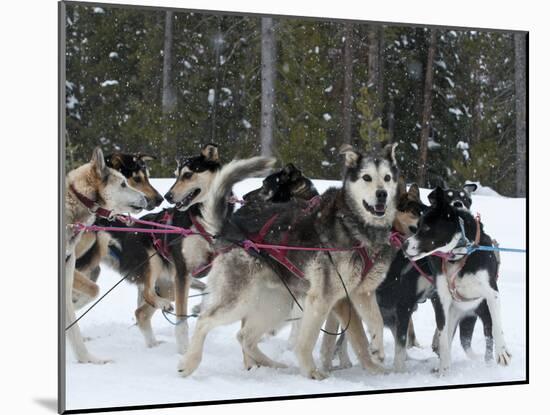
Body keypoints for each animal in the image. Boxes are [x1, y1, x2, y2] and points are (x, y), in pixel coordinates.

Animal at [402, 187, 512, 376]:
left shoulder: (492, 294)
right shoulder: (442, 299)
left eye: (426, 227)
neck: (459, 255)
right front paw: (443, 369)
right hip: (453, 314)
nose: (403, 245)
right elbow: (443, 338)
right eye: (417, 227)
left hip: (481, 312)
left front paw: (502, 352)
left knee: (487, 336)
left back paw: (489, 362)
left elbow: (497, 327)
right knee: (446, 337)